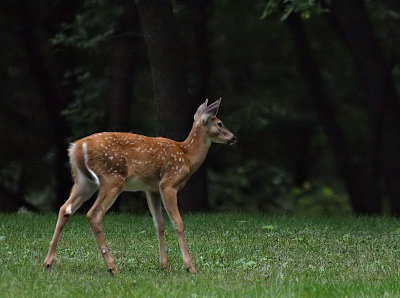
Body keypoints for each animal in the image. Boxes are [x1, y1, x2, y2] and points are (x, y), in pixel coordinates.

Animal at [43, 99, 238, 274]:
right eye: (220, 123)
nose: (233, 137)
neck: (186, 156)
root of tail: (77, 147)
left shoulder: (151, 189)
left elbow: (159, 224)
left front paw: (164, 266)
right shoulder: (168, 184)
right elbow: (177, 223)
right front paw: (190, 266)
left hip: (84, 182)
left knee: (64, 209)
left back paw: (48, 263)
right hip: (112, 178)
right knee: (93, 214)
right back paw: (112, 267)